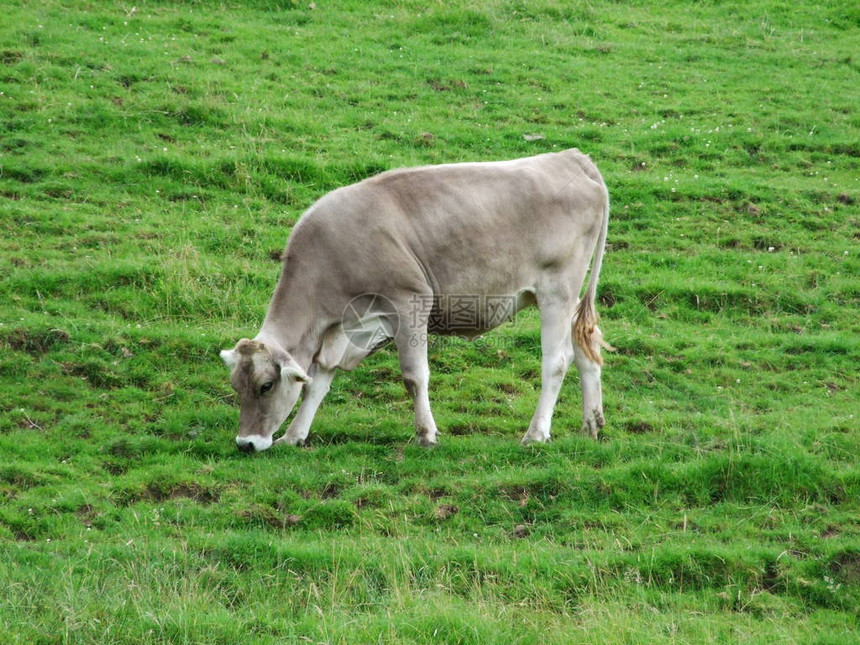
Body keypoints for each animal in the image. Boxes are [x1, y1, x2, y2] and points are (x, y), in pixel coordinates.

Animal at [222, 148, 612, 450]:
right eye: (236, 385)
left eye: (265, 385)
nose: (246, 443)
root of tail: (571, 157)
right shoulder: (346, 330)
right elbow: (317, 383)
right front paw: (294, 435)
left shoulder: (409, 301)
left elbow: (414, 376)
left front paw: (426, 433)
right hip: (568, 296)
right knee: (584, 345)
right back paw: (591, 424)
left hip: (557, 289)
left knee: (556, 361)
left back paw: (536, 433)